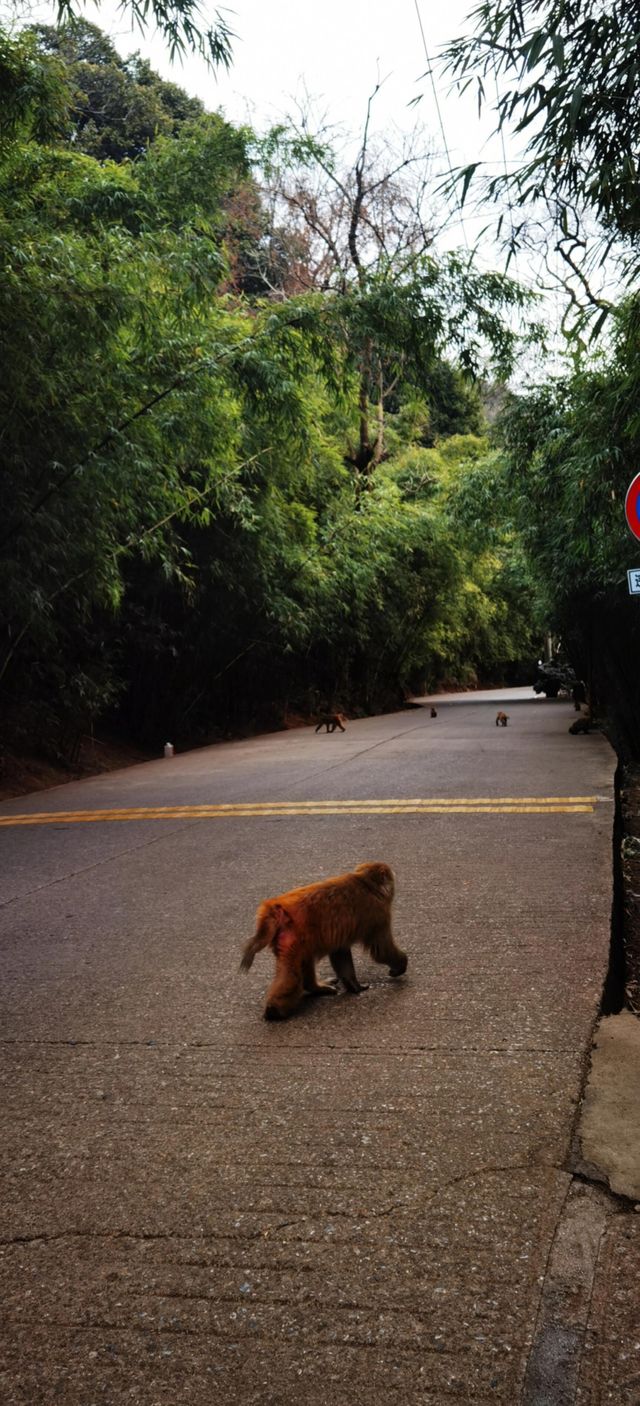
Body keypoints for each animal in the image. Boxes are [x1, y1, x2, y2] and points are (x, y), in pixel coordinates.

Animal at [237, 854, 407, 1023]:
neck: (367, 884)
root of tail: (275, 908)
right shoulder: (378, 914)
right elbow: (381, 951)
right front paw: (400, 965)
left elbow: (340, 952)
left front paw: (354, 986)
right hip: (295, 937)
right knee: (292, 973)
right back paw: (275, 1010)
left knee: (303, 961)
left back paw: (314, 988)